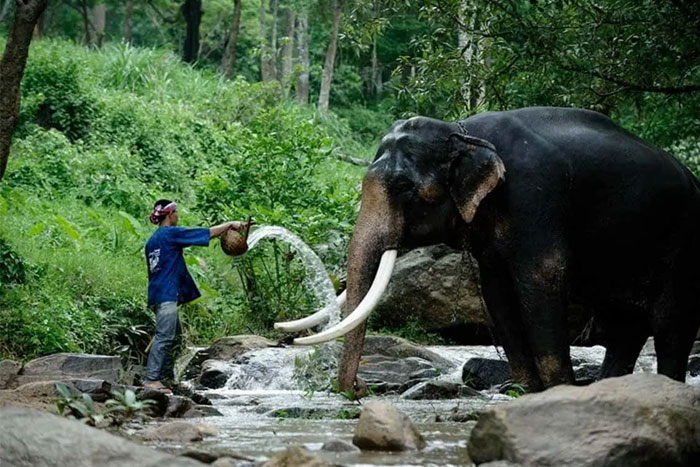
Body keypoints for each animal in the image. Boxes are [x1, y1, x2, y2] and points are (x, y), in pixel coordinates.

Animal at [274, 107, 700, 394]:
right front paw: (523, 391)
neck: (463, 132)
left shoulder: (535, 196)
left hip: (682, 242)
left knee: (671, 324)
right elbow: (496, 290)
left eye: (408, 190)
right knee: (625, 325)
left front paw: (558, 391)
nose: (360, 388)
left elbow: (540, 279)